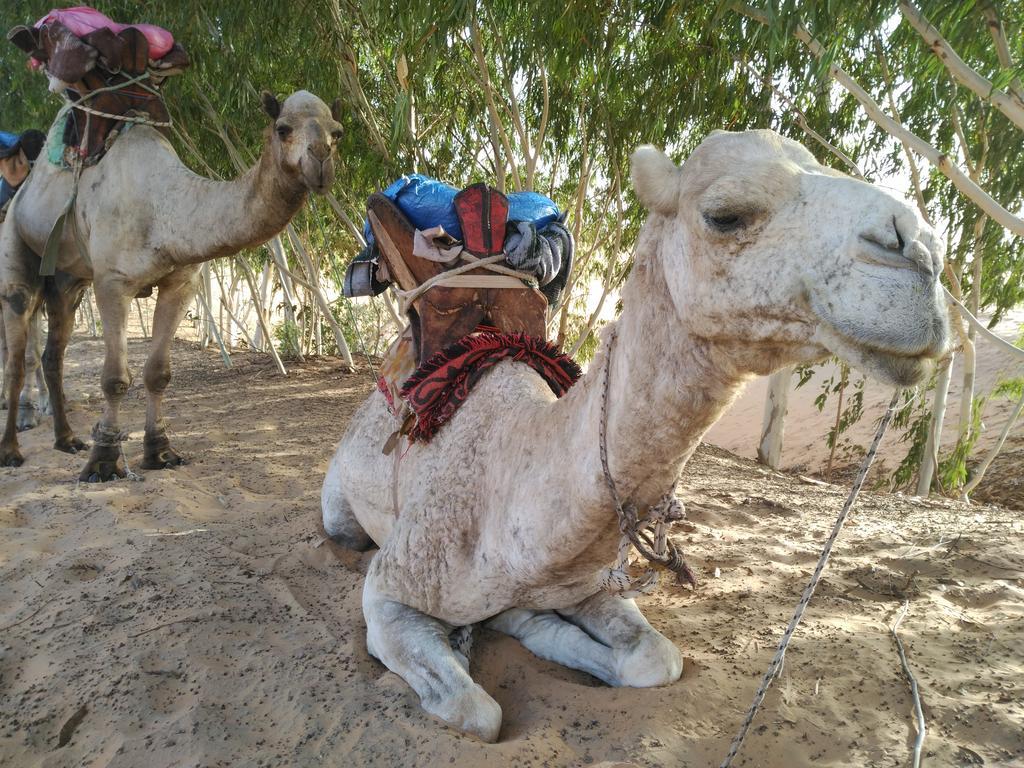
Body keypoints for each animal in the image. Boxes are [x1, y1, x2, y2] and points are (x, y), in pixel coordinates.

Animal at [0, 91, 344, 481]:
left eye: (338, 132)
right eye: (283, 128)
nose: (320, 160)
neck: (165, 211)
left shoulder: (181, 283)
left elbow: (158, 374)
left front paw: (160, 453)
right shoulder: (112, 283)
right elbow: (115, 378)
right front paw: (103, 462)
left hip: (67, 282)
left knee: (53, 353)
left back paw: (67, 440)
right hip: (16, 244)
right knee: (17, 352)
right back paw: (12, 450)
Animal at [321, 129, 950, 741]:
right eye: (726, 215)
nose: (922, 252)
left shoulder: (587, 584)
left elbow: (654, 658)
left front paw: (525, 620)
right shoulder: (389, 591)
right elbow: (478, 712)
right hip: (339, 508)